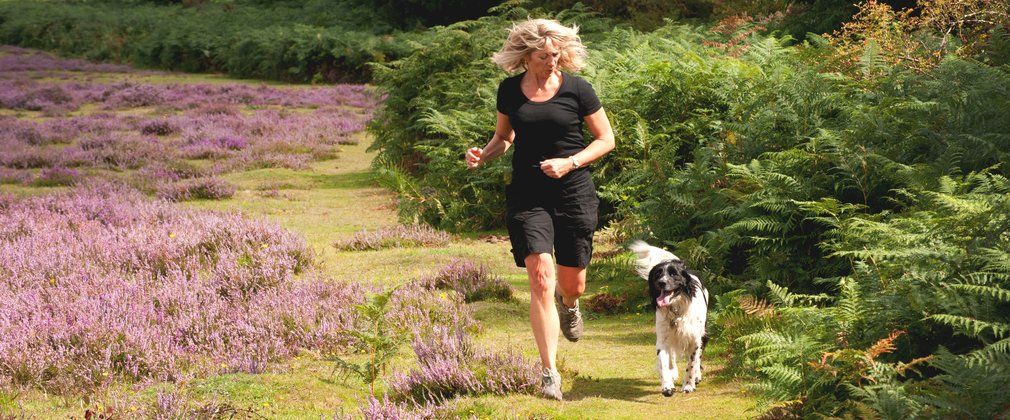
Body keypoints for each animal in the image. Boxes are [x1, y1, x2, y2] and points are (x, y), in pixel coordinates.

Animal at [626, 241, 707, 395]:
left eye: (674, 274)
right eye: (657, 274)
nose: (661, 282)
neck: (675, 310)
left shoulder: (694, 339)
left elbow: (692, 363)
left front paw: (688, 384)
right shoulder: (663, 339)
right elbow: (663, 362)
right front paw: (667, 386)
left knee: (698, 357)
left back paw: (697, 376)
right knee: (672, 355)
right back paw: (673, 372)